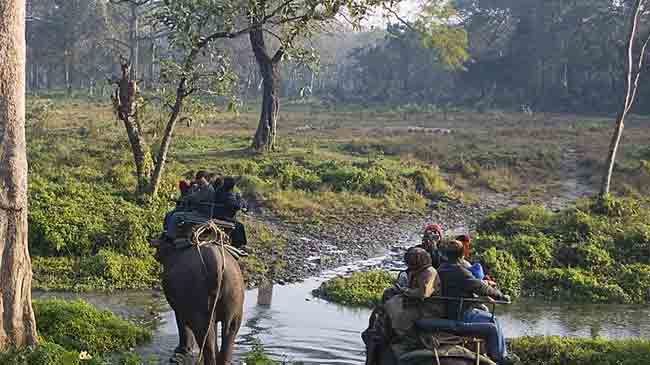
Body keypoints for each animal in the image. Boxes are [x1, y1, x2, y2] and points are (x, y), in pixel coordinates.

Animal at [151, 236, 244, 364]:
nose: (152, 244)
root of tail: (216, 261)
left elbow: (181, 321)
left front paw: (181, 352)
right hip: (234, 292)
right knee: (230, 329)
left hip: (198, 297)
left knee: (204, 333)